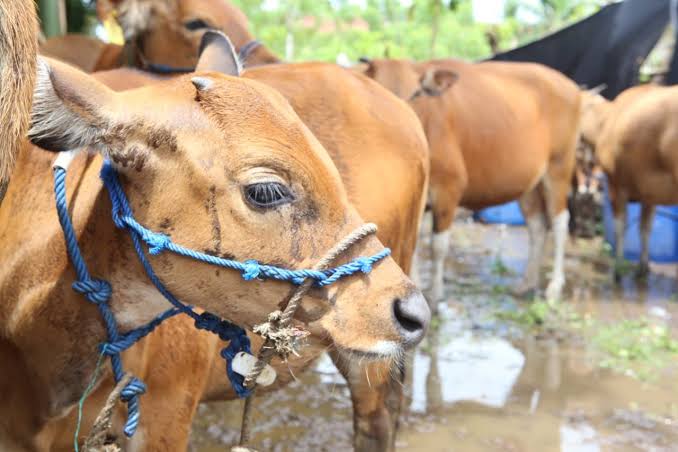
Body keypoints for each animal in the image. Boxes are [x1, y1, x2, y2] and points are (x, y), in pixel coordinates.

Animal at [362, 57, 584, 304]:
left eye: (417, 93)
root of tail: (573, 88)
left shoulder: (449, 187)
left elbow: (438, 246)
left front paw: (436, 294)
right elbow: (413, 243)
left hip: (559, 166)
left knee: (560, 222)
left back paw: (554, 286)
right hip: (531, 184)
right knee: (537, 225)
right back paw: (527, 282)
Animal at [580, 83, 678, 278]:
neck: (606, 120)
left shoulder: (615, 184)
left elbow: (620, 227)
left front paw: (618, 269)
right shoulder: (650, 194)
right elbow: (645, 229)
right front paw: (643, 266)